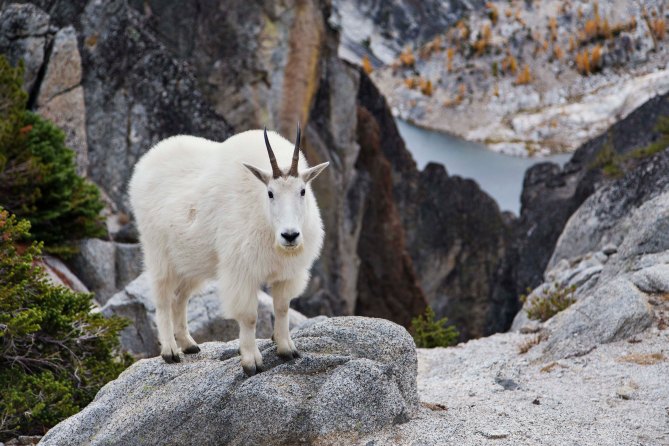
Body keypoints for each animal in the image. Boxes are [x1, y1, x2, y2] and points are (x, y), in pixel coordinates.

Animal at [128, 125, 328, 375]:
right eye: (270, 193)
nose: (290, 236)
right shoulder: (242, 271)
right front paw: (251, 362)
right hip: (159, 252)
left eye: (302, 191)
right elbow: (249, 317)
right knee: (163, 298)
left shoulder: (287, 273)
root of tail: (144, 163)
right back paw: (170, 351)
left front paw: (287, 349)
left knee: (180, 298)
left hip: (192, 262)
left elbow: (282, 308)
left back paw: (189, 344)